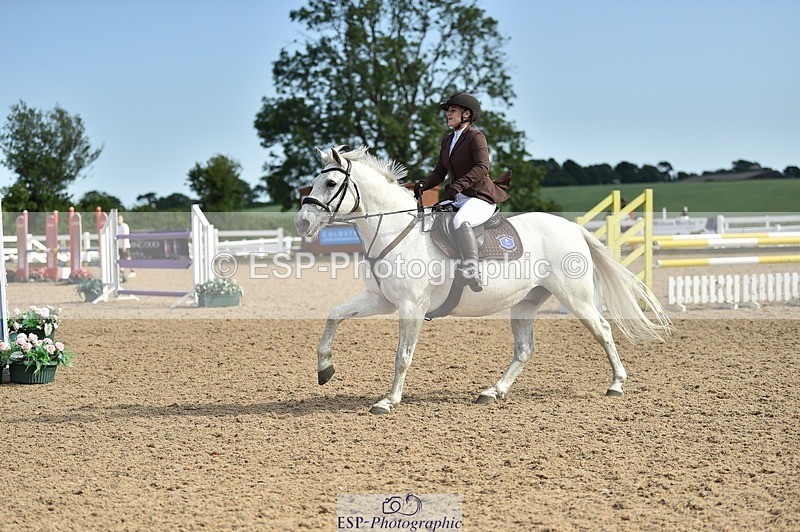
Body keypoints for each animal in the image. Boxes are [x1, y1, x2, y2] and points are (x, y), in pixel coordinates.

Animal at [294, 146, 673, 414]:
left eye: (330, 183)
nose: (302, 223)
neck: (395, 231)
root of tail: (573, 228)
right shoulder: (381, 301)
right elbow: (334, 315)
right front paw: (325, 369)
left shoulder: (411, 307)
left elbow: (403, 356)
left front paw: (388, 401)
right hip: (525, 303)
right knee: (524, 349)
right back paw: (493, 391)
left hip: (575, 298)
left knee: (604, 330)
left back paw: (617, 384)